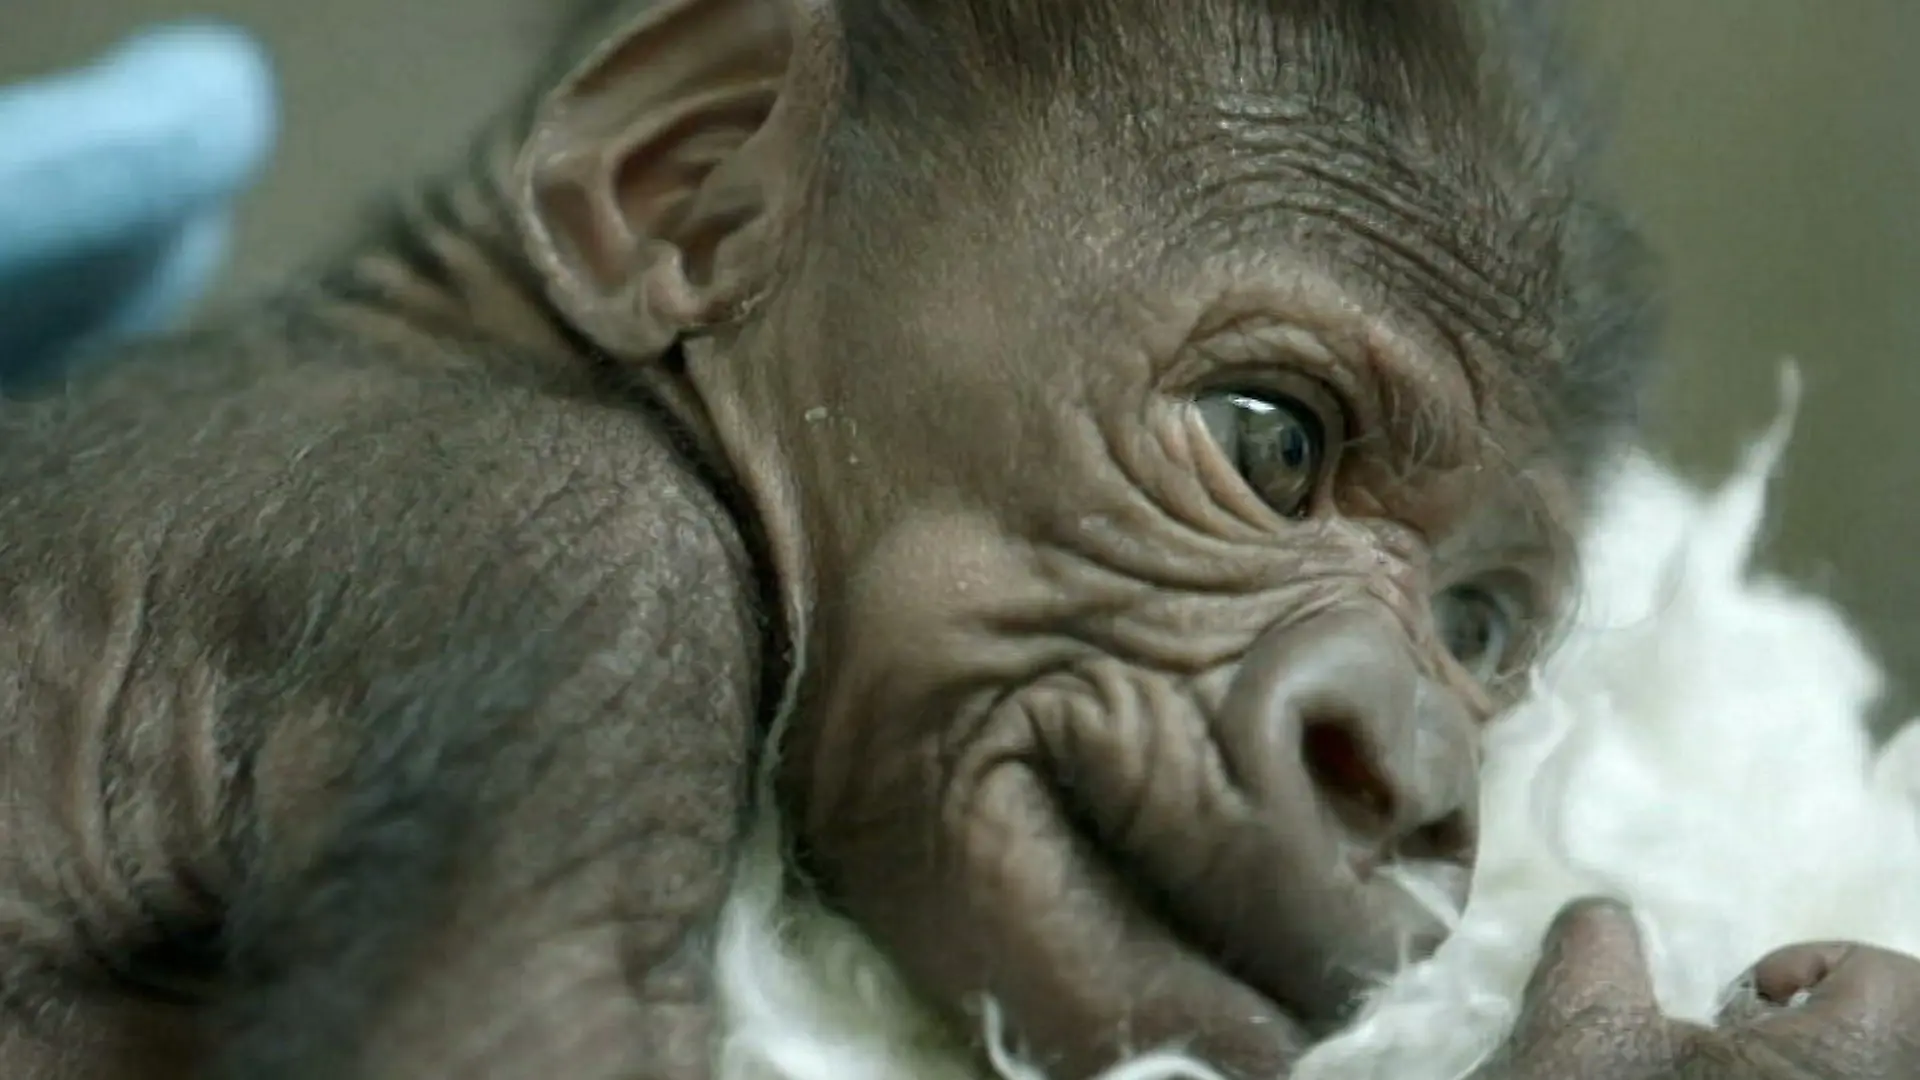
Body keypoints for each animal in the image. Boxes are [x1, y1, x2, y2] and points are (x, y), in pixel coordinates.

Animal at [5, 1, 1920, 1079]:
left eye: (1476, 632)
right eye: (1273, 443)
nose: (1408, 779)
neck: (490, 336)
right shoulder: (574, 557)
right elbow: (492, 1037)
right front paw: (1694, 1061)